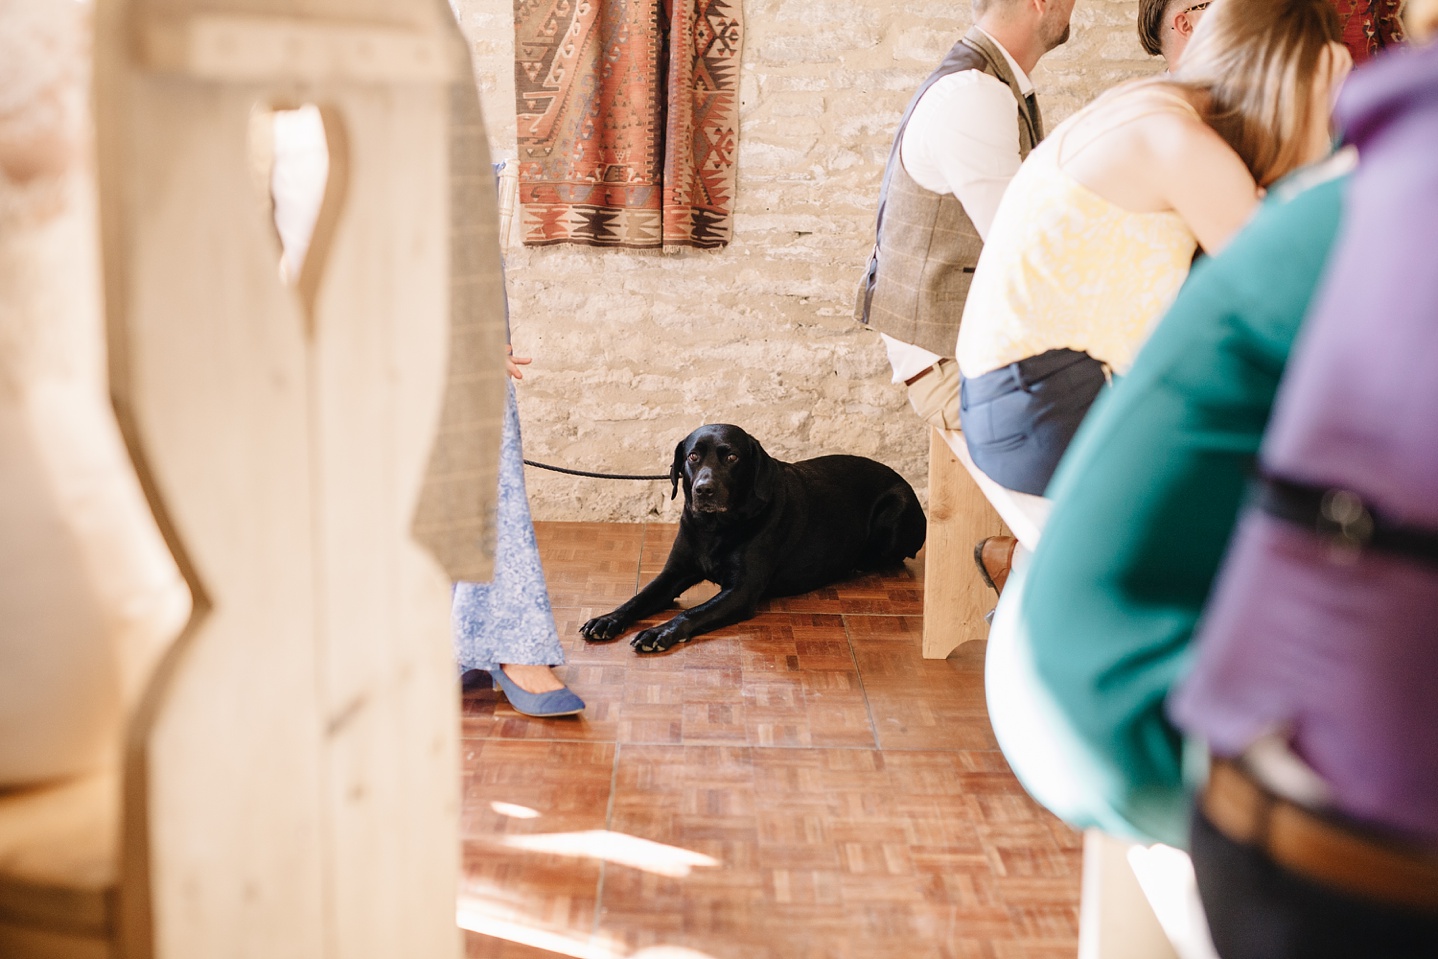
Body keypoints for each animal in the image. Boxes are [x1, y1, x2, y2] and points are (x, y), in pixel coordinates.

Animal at [578, 425, 926, 652]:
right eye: (692, 457)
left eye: (731, 457)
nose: (703, 490)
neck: (716, 527)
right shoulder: (673, 574)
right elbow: (638, 598)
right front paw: (608, 619)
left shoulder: (741, 591)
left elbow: (691, 612)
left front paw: (658, 632)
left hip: (895, 509)